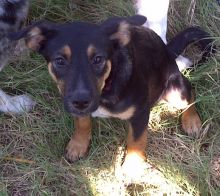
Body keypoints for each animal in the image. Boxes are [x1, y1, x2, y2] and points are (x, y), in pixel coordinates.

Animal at [9, 14, 214, 175]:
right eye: (59, 60)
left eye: (98, 59)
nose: (81, 101)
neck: (106, 87)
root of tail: (169, 52)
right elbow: (82, 123)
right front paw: (78, 145)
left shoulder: (140, 112)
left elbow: (136, 141)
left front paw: (132, 167)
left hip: (175, 90)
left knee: (190, 93)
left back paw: (192, 122)